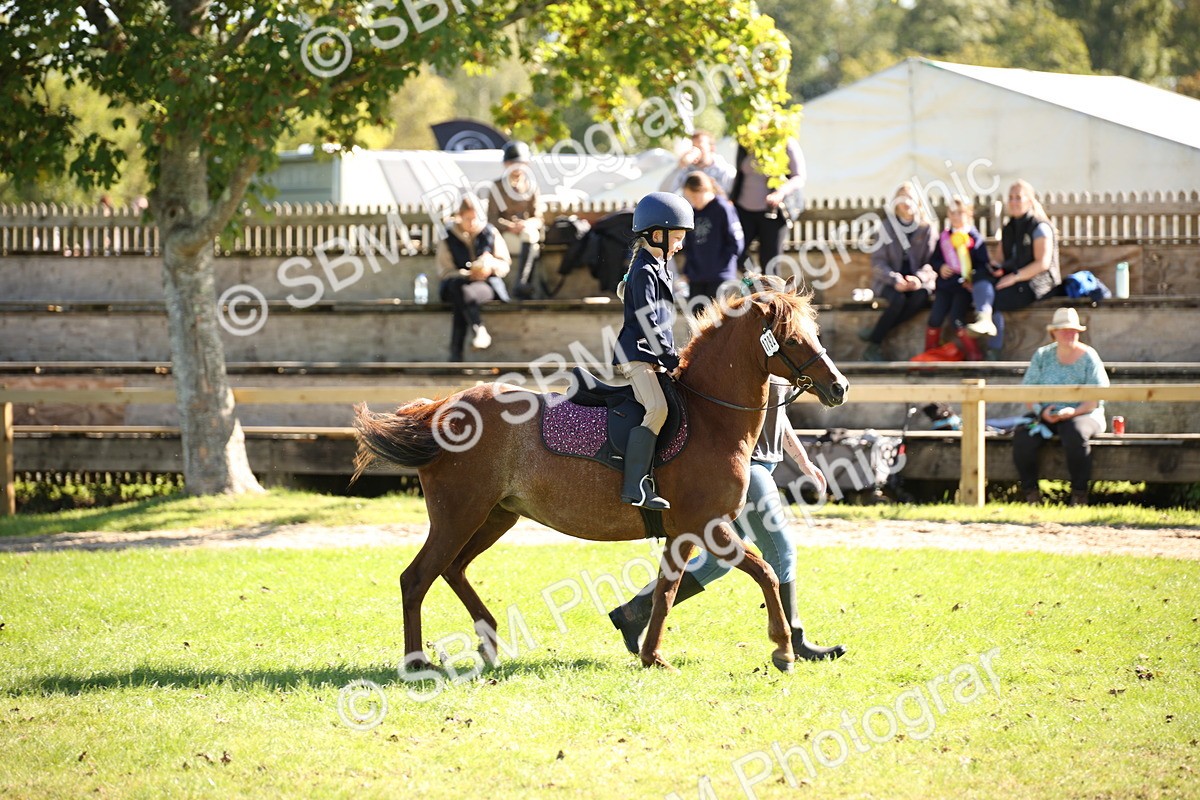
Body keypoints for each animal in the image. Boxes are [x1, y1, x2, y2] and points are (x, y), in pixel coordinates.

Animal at [353, 283, 849, 673]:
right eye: (793, 339)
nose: (839, 387)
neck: (710, 416)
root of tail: (443, 408)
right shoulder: (707, 526)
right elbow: (764, 571)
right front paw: (782, 650)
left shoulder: (682, 533)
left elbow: (667, 591)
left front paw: (652, 655)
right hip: (459, 515)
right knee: (417, 578)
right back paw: (417, 661)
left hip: (494, 517)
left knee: (452, 570)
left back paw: (489, 639)